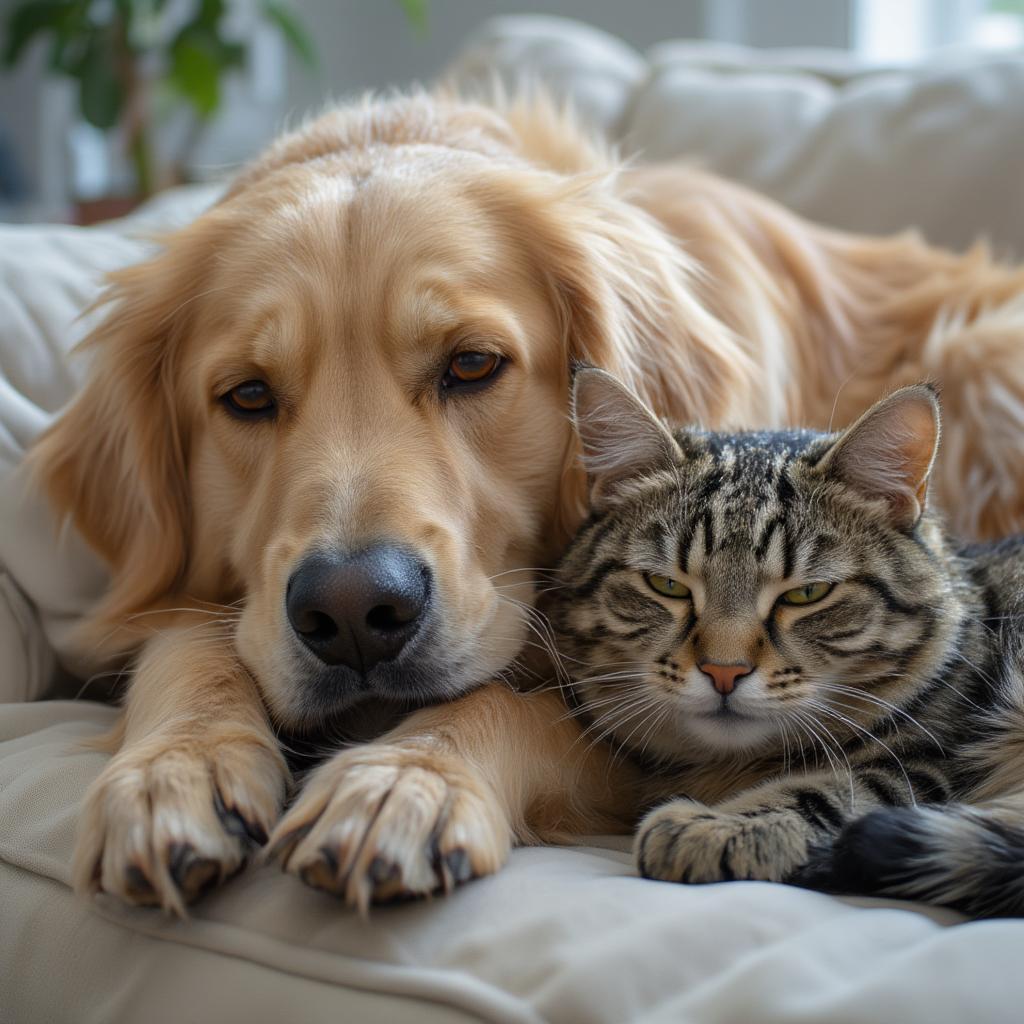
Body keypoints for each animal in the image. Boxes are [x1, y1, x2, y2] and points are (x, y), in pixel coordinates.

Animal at [548, 368, 1024, 921]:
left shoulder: (929, 760)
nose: (724, 671)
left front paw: (718, 826)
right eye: (666, 586)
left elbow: (836, 788)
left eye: (807, 594)